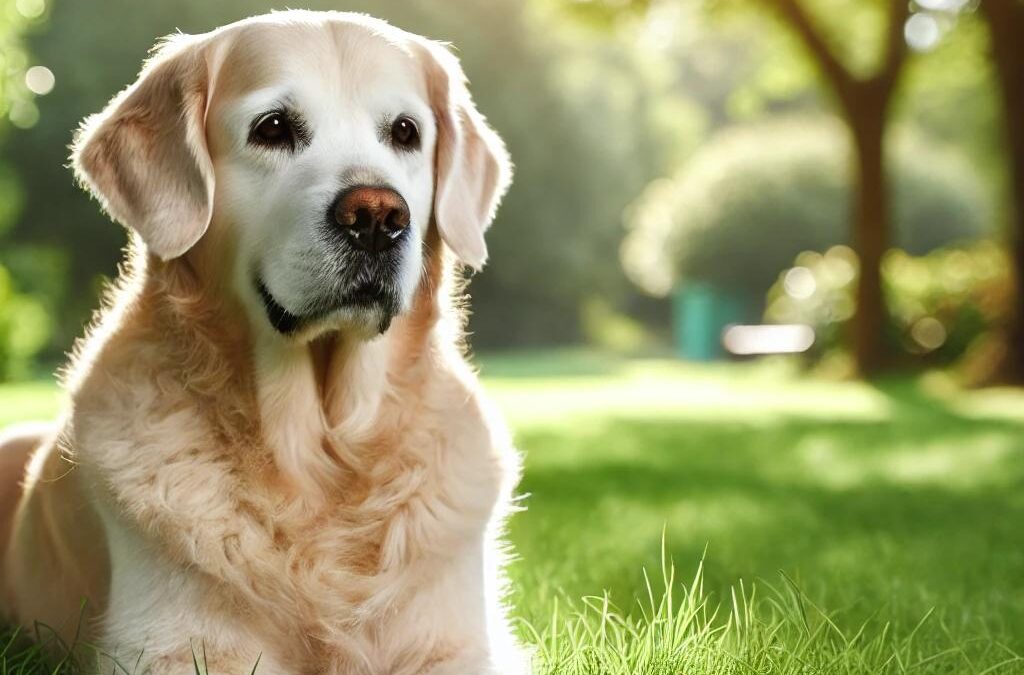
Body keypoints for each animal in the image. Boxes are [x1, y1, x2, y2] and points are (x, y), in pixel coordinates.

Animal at [0, 11, 528, 675]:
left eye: (406, 133)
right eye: (272, 128)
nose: (378, 217)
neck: (321, 456)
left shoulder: (458, 640)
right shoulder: (171, 647)